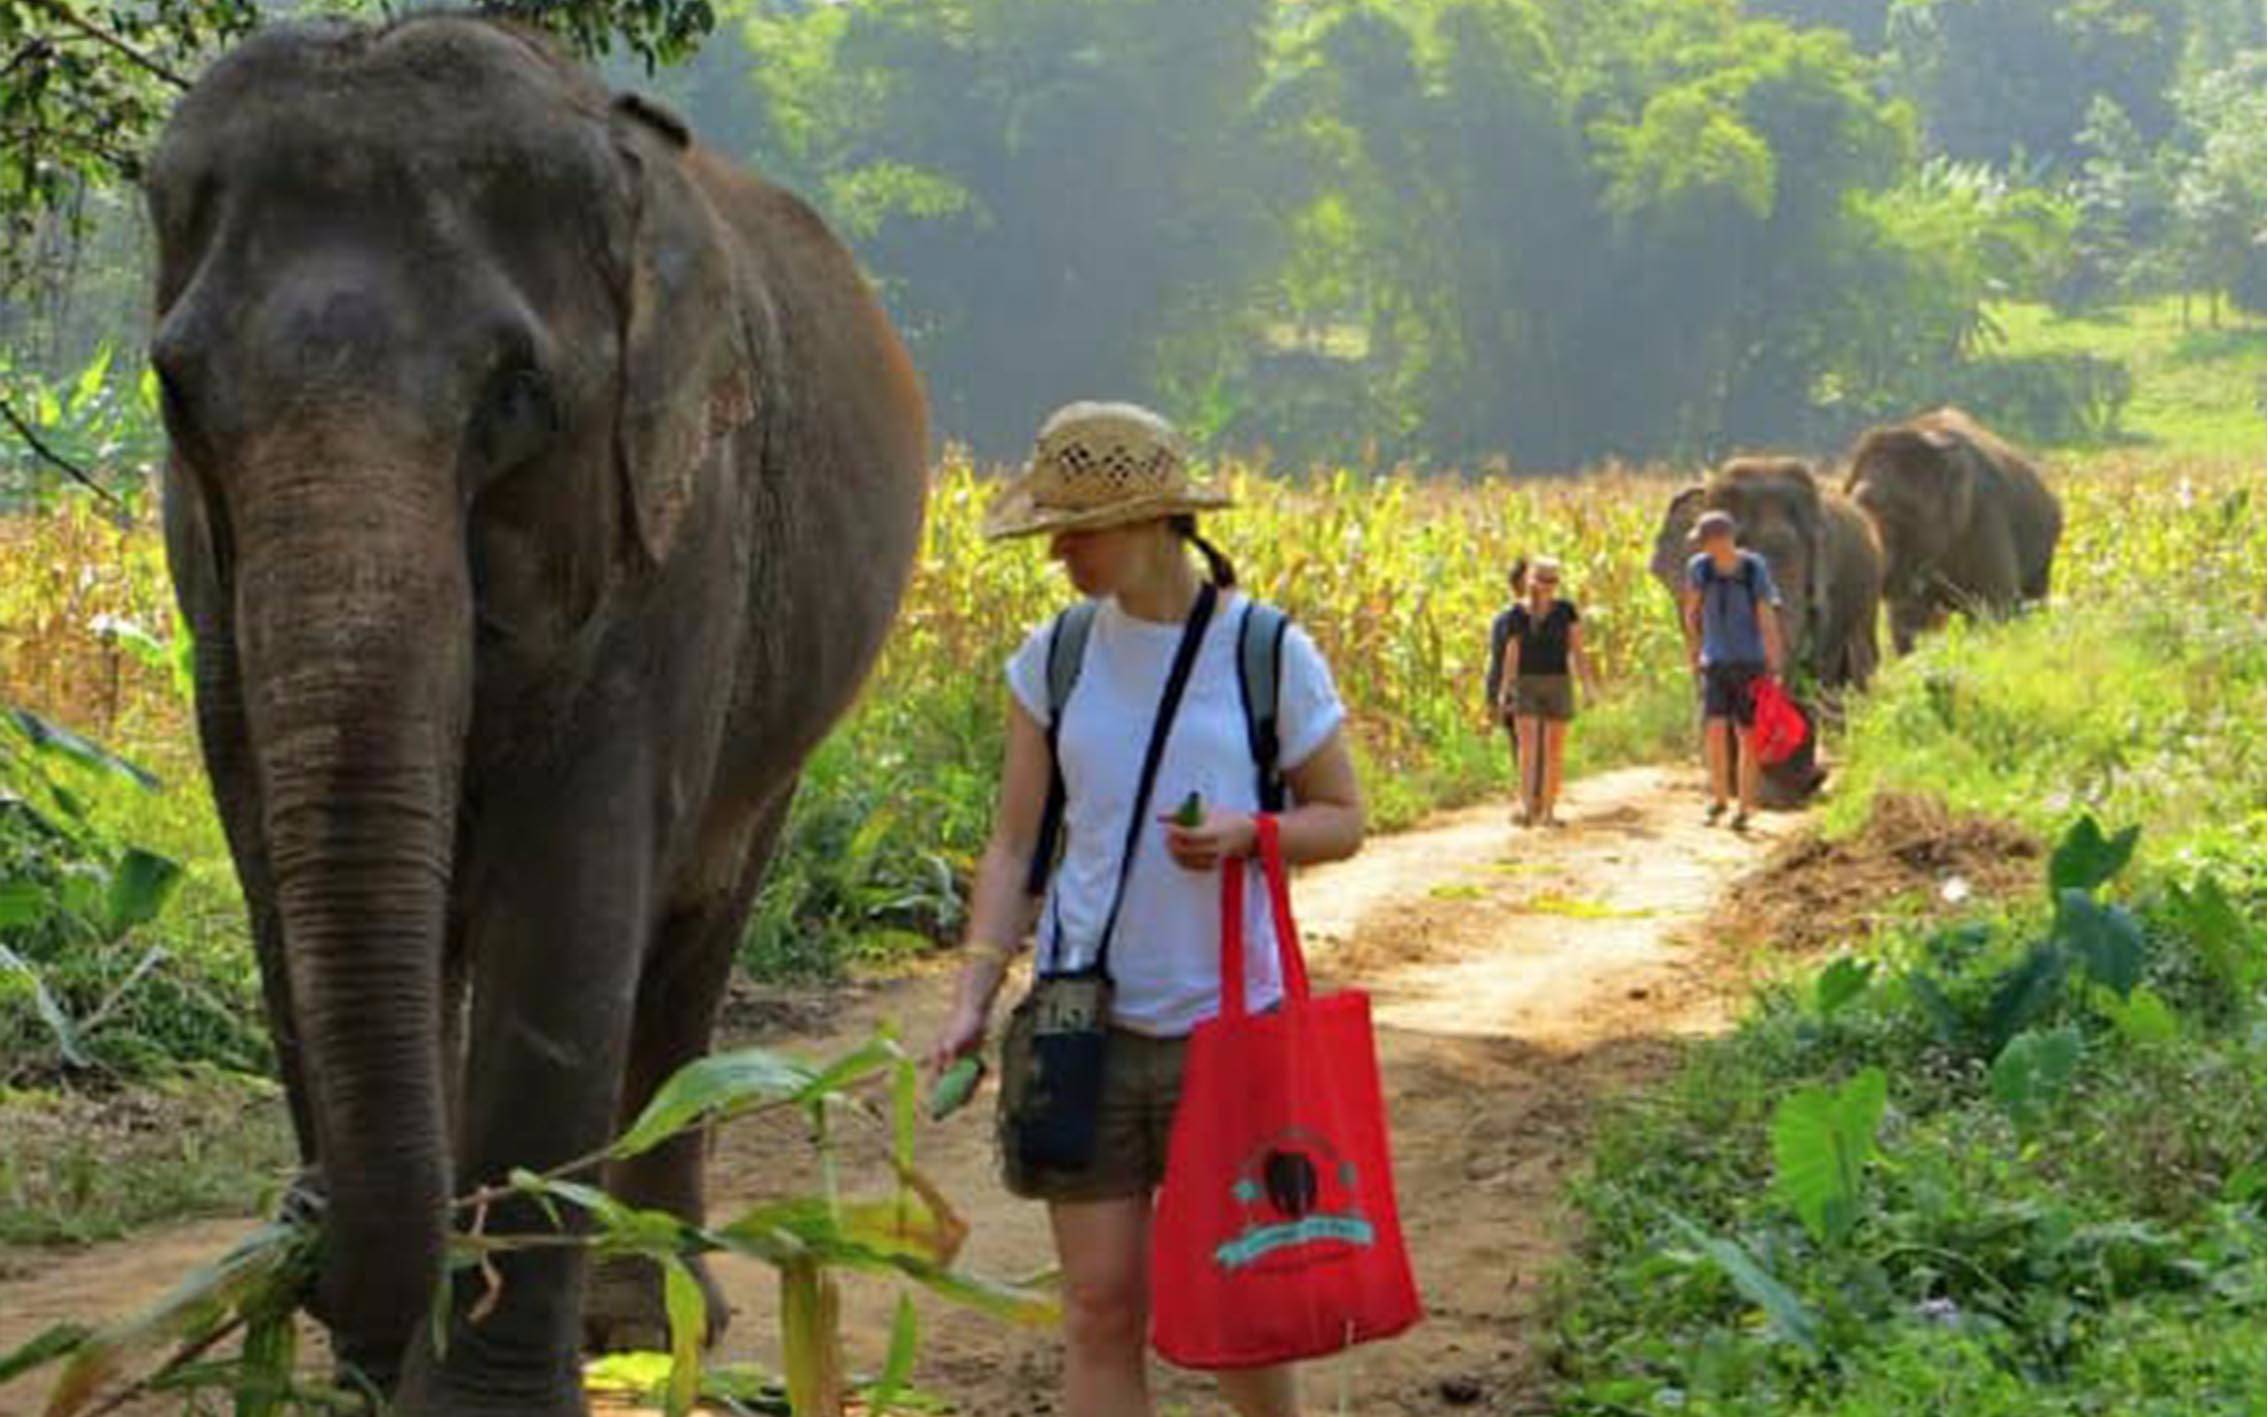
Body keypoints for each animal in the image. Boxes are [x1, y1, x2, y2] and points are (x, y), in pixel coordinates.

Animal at [146, 16, 925, 1405]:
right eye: (176, 389)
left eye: (515, 393)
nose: (302, 1230)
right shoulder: (208, 586)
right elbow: (277, 881)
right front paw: (372, 1367)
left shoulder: (677, 538)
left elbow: (569, 900)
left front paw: (476, 1389)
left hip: (788, 718)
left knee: (691, 944)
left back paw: (642, 1315)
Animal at [1850, 405, 2068, 652]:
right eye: (1858, 505)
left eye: (1903, 509)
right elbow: (1908, 621)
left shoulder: (1985, 516)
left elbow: (1994, 606)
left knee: (2031, 601)